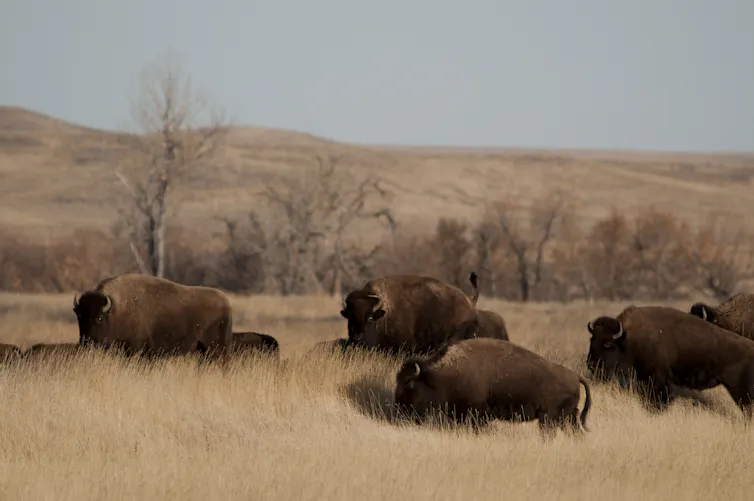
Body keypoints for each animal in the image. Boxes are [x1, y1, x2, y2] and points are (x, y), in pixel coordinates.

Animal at [72, 274, 233, 359]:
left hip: (216, 347)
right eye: (79, 317)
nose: (87, 342)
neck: (117, 309)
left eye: (99, 318)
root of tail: (226, 302)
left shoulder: (136, 348)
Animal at [394, 337, 592, 434]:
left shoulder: (475, 414)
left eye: (409, 383)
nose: (399, 408)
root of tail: (575, 376)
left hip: (549, 418)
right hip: (567, 418)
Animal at [587, 305, 754, 416]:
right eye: (592, 339)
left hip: (739, 390)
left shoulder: (655, 380)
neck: (628, 338)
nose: (591, 364)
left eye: (608, 343)